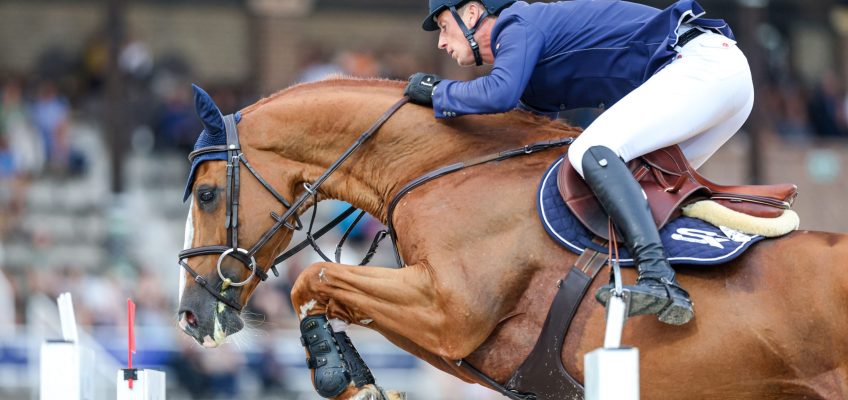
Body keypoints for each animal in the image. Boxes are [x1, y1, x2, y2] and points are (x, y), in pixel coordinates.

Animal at [177, 79, 848, 400]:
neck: (441, 167)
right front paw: (350, 375)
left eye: (206, 195)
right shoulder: (448, 335)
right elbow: (324, 291)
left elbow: (312, 281)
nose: (189, 317)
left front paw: (341, 378)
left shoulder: (450, 312)